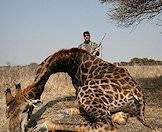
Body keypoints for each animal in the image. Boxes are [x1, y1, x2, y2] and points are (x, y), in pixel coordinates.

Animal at [5, 47, 152, 131]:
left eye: (25, 109)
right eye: (7, 114)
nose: (14, 130)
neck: (70, 62)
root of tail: (139, 93)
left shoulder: (78, 88)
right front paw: (66, 111)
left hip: (85, 92)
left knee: (106, 125)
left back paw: (46, 125)